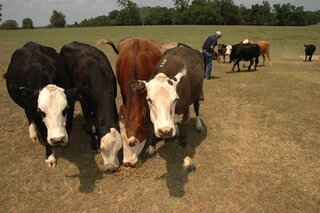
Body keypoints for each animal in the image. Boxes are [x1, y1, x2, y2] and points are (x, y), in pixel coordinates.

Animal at [60, 41, 121, 171]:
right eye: (102, 148)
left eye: (119, 148)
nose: (111, 168)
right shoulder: (84, 103)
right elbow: (92, 126)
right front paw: (94, 146)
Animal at [130, 44, 205, 172]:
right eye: (149, 99)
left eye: (175, 99)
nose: (166, 131)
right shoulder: (150, 116)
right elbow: (153, 133)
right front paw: (151, 148)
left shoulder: (185, 114)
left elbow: (183, 139)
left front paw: (187, 161)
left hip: (197, 93)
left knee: (197, 107)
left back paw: (198, 124)